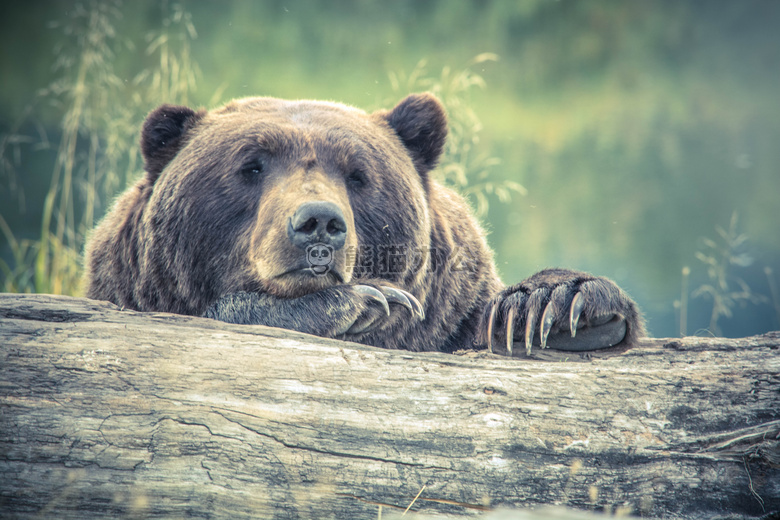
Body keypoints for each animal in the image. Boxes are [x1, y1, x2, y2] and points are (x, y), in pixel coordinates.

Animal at [84, 92, 644, 354]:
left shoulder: (452, 314)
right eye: (251, 166)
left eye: (357, 174)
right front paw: (363, 301)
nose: (318, 223)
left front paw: (552, 306)